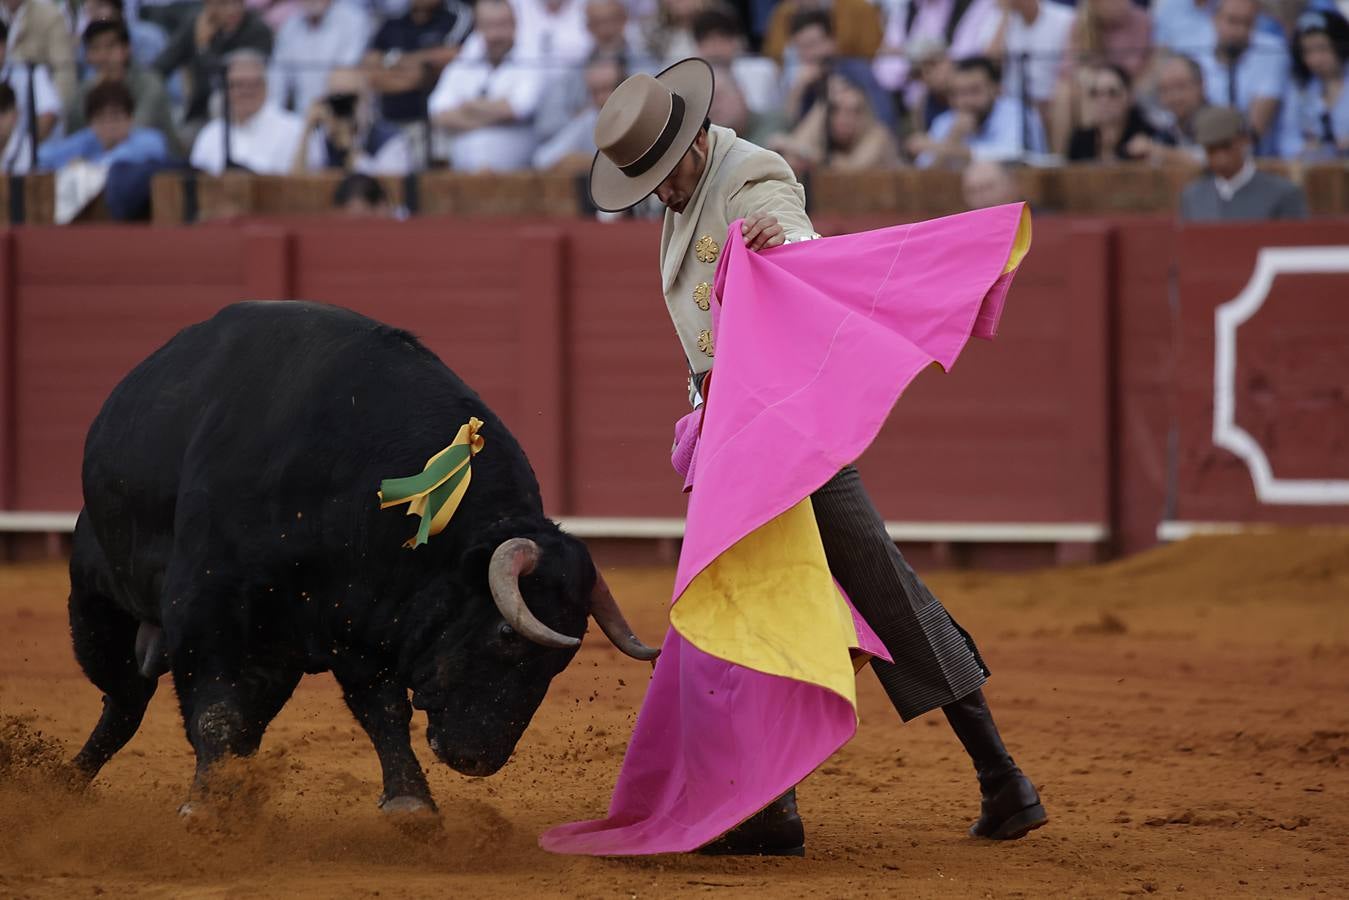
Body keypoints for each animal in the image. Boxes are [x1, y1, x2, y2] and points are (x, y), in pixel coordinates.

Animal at [68, 304, 658, 814]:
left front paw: (410, 803)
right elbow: (215, 709)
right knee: (124, 700)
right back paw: (66, 785)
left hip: (275, 657)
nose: (477, 759)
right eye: (506, 636)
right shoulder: (205, 610)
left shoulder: (362, 618)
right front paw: (204, 807)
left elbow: (382, 708)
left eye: (560, 664)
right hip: (96, 602)